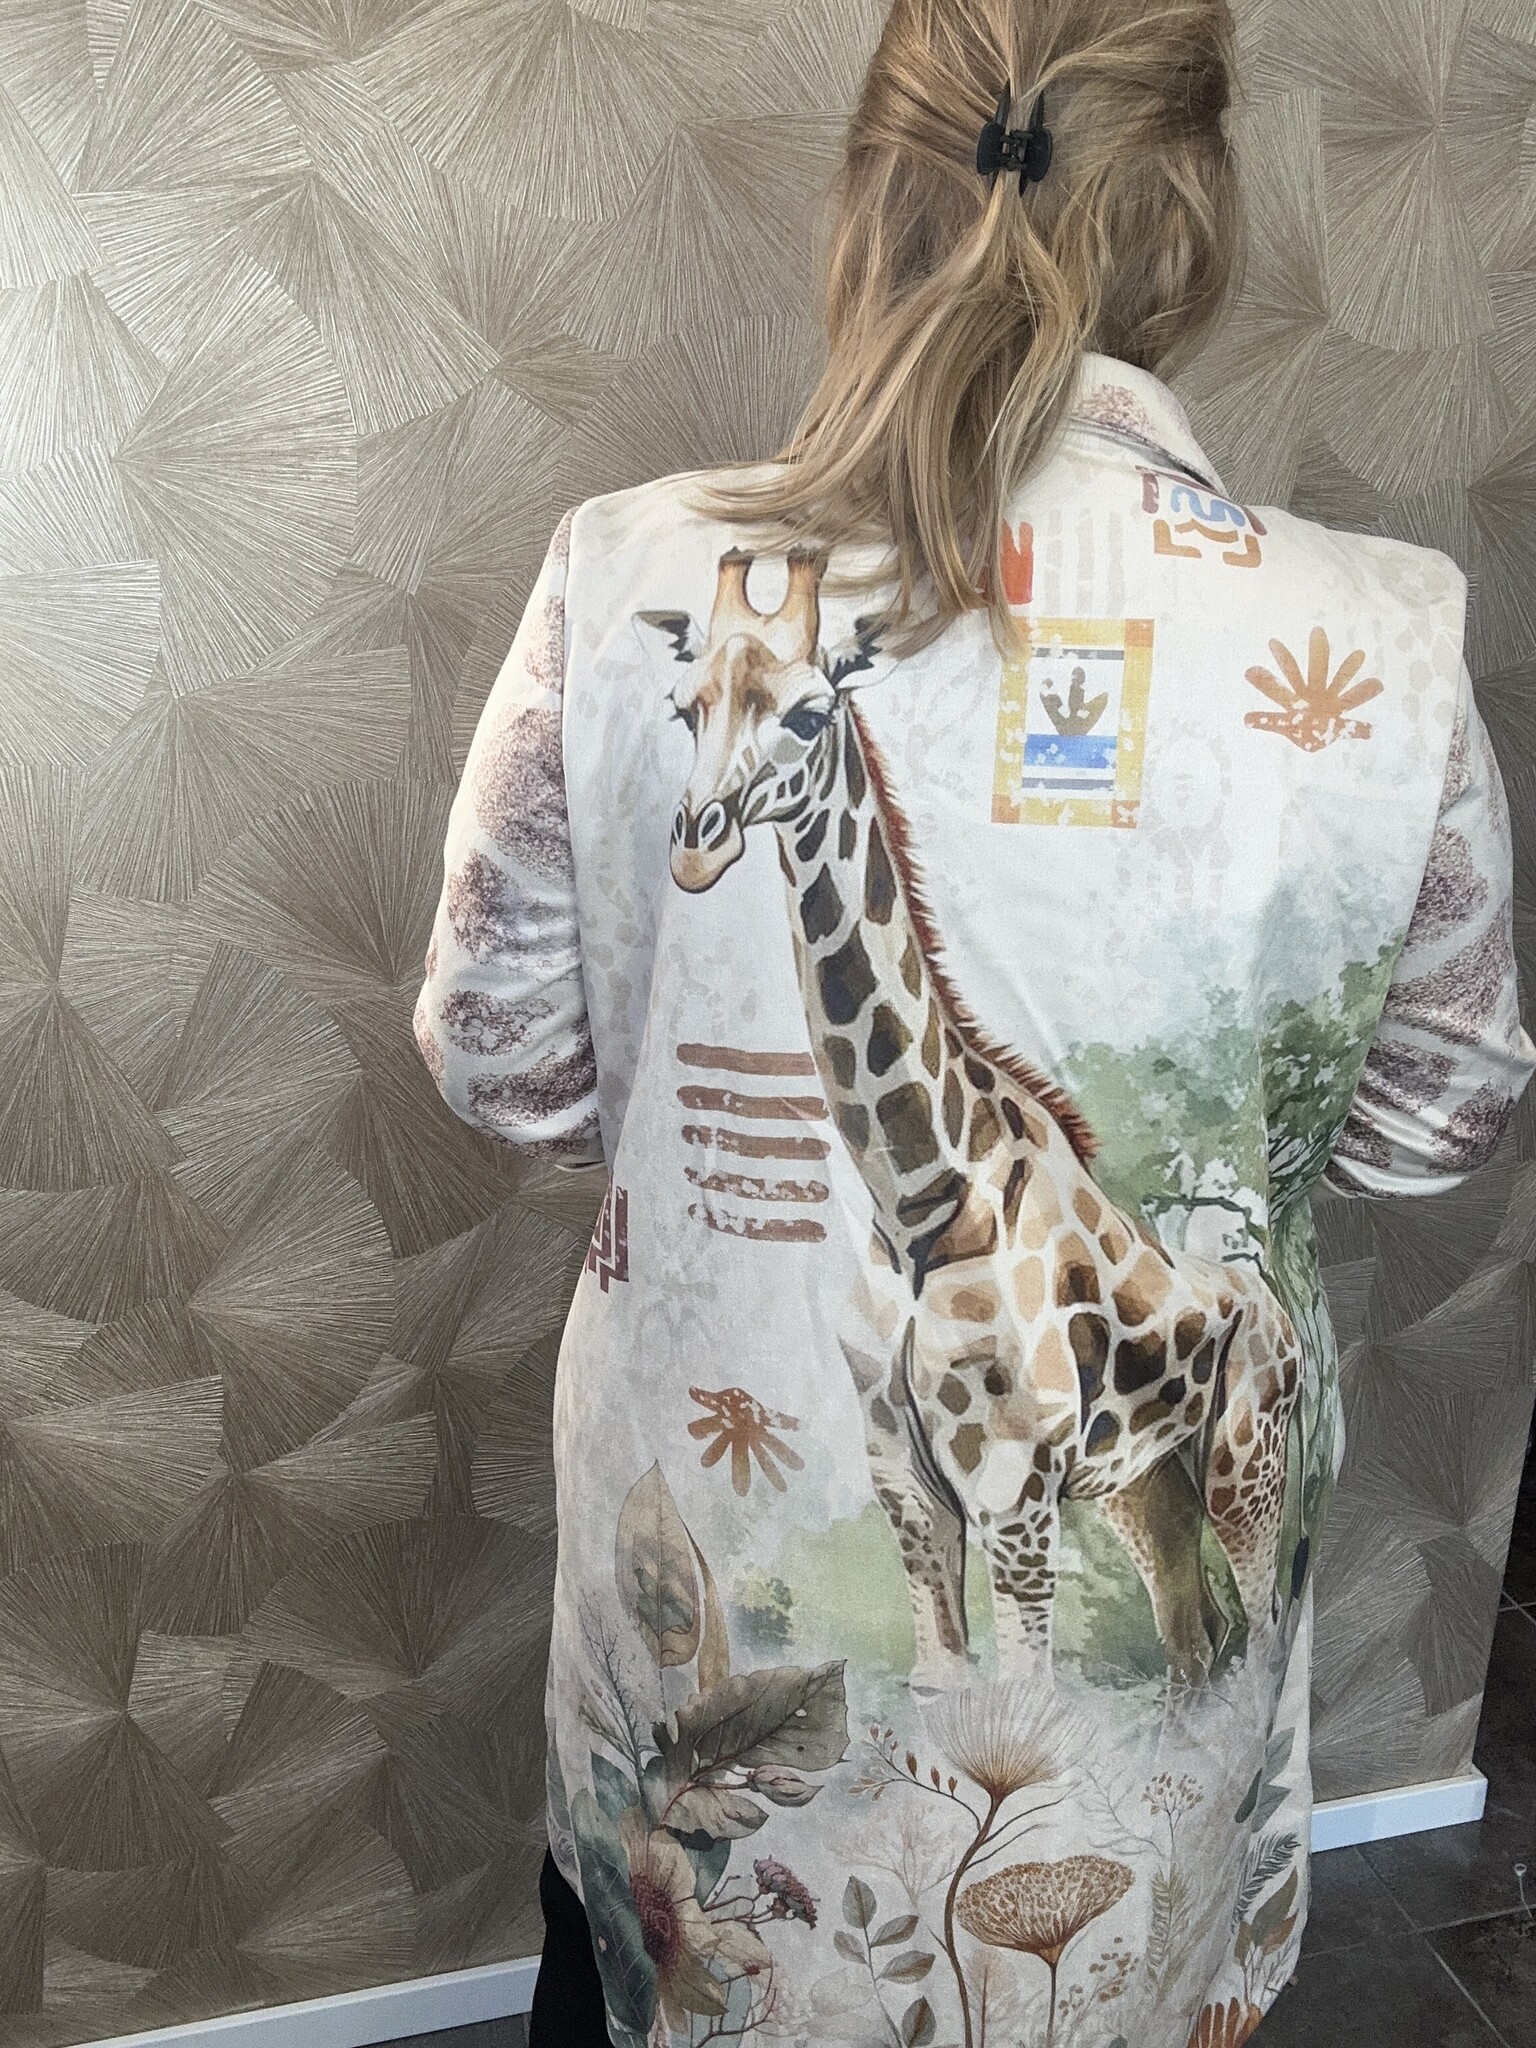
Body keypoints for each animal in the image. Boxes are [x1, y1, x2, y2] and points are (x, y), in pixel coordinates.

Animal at [636, 547, 1303, 1691]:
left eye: (809, 712)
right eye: (687, 706)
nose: (695, 845)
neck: (919, 1192)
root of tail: (1282, 1313)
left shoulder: (1013, 1488)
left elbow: (1025, 1699)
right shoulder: (906, 1486)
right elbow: (942, 1687)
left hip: (1242, 1469)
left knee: (1255, 1636)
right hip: (1147, 1491)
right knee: (1193, 1644)